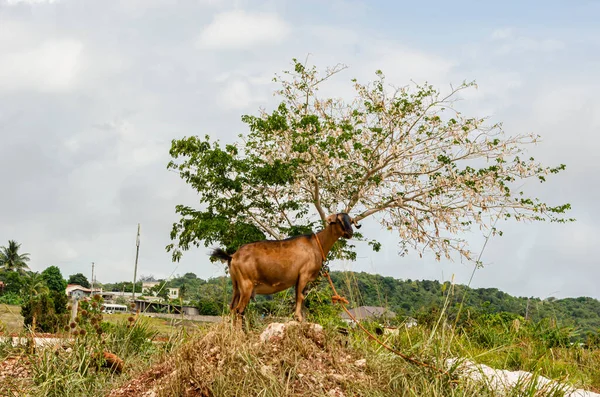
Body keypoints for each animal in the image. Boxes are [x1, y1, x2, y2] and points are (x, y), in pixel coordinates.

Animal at [211, 213, 360, 322]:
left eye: (350, 221)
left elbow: (299, 296)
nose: (350, 232)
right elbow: (300, 297)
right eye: (339, 220)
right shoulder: (304, 274)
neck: (316, 245)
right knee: (239, 310)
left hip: (236, 285)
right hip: (246, 284)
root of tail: (233, 256)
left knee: (232, 308)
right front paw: (298, 317)